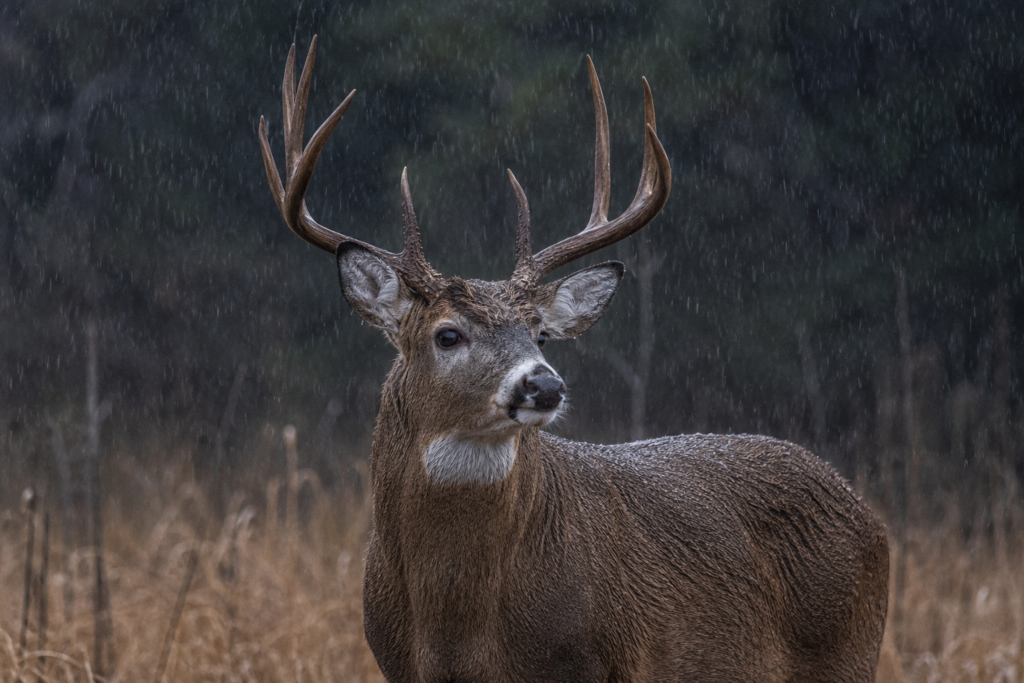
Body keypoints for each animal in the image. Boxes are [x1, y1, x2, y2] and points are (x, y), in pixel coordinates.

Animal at [258, 37, 889, 683]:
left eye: (541, 334)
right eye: (447, 335)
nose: (544, 385)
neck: (456, 627)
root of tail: (864, 508)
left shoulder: (599, 659)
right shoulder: (396, 663)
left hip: (849, 651)